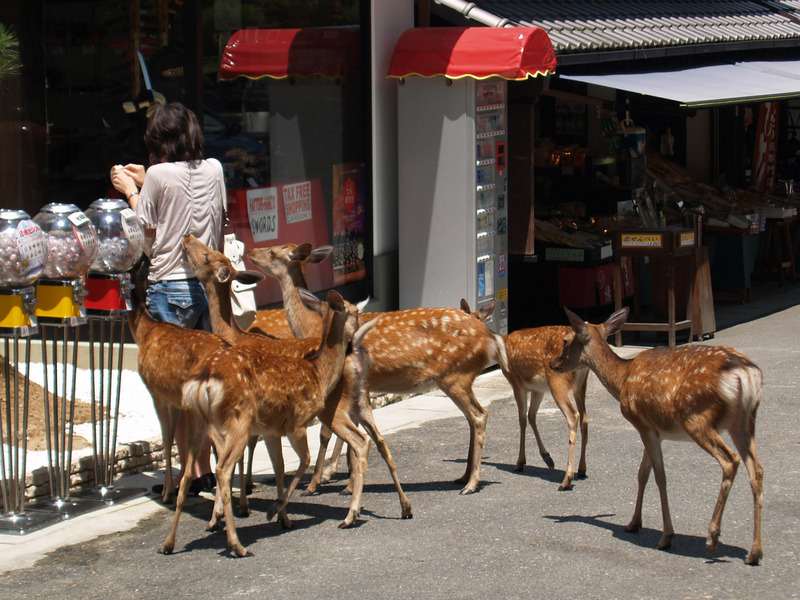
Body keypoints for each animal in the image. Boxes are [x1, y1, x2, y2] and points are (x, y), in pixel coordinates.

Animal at [160, 289, 379, 557]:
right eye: (355, 312)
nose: (356, 340)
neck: (318, 373)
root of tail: (204, 379)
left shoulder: (272, 430)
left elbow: (279, 468)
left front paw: (284, 517)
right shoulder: (297, 421)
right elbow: (303, 461)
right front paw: (276, 510)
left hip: (195, 419)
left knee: (188, 473)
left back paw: (168, 543)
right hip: (238, 420)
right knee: (222, 469)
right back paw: (237, 545)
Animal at [180, 234, 412, 523]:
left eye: (207, 256)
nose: (187, 237)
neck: (232, 334)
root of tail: (355, 350)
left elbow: (246, 451)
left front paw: (240, 505)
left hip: (334, 406)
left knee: (353, 439)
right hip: (362, 400)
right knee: (378, 440)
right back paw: (400, 505)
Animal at [248, 244, 510, 495]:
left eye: (273, 251)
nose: (250, 252)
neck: (312, 327)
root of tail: (492, 337)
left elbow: (328, 433)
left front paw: (321, 480)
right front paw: (343, 479)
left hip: (456, 375)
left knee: (479, 415)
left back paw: (471, 483)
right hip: (457, 377)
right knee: (472, 417)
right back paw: (464, 477)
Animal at [460, 299, 590, 491]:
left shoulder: (516, 383)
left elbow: (521, 419)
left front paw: (520, 462)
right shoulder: (537, 388)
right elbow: (531, 416)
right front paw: (547, 458)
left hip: (558, 381)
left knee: (573, 416)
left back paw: (567, 479)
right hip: (581, 384)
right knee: (585, 419)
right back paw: (581, 469)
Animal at [550, 306, 764, 565]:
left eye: (566, 340)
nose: (552, 362)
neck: (622, 380)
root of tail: (747, 374)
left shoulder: (642, 424)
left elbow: (660, 476)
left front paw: (666, 537)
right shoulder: (652, 429)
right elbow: (643, 473)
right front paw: (633, 523)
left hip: (697, 419)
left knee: (730, 460)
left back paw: (712, 538)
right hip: (744, 422)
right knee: (757, 469)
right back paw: (754, 552)